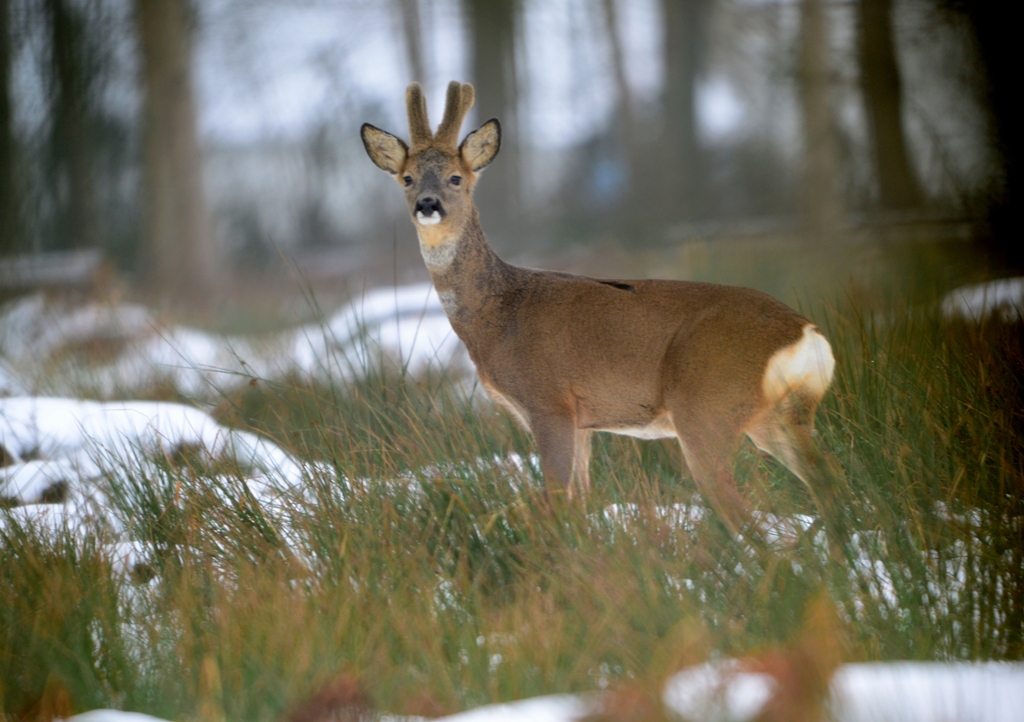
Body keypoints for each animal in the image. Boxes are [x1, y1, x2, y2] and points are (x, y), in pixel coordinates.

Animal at [364, 81, 835, 516]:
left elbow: (556, 502)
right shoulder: (582, 421)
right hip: (779, 417)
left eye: (456, 178)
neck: (497, 315)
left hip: (708, 409)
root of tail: (806, 337)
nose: (428, 205)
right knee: (832, 488)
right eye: (407, 178)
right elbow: (582, 499)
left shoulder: (549, 401)